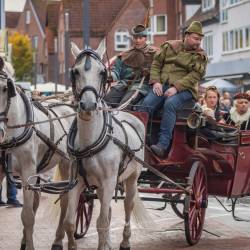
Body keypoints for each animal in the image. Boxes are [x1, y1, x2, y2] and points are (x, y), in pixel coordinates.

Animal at [0, 59, 75, 250]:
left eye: (5, 88)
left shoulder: (27, 171)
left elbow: (27, 216)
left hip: (67, 164)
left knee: (66, 199)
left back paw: (60, 240)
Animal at [61, 41, 146, 250]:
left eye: (101, 72)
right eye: (75, 71)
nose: (88, 105)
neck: (90, 142)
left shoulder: (108, 182)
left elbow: (102, 222)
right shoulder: (76, 182)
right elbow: (70, 222)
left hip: (132, 178)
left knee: (127, 206)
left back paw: (125, 241)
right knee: (106, 212)